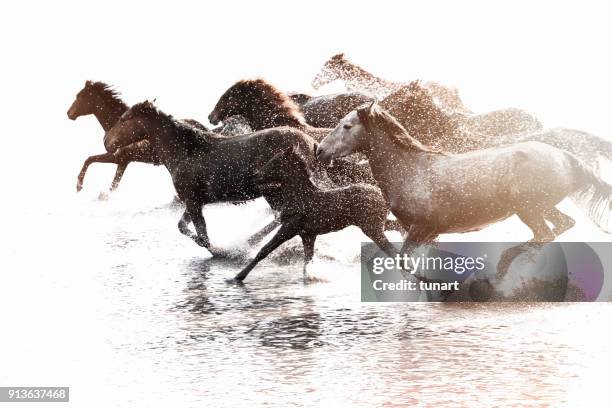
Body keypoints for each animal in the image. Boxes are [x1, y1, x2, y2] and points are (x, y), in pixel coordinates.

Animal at [103, 100, 320, 250]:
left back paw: (248, 243)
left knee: (282, 216)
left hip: (273, 191)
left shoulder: (192, 201)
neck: (186, 151)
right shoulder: (195, 200)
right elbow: (183, 226)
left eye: (124, 119)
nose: (106, 141)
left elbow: (203, 237)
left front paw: (220, 251)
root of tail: (312, 143)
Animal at [234, 145, 396, 282]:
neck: (299, 196)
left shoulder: (289, 228)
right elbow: (307, 260)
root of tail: (383, 197)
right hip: (377, 225)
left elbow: (264, 250)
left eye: (274, 161)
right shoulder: (308, 235)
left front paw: (238, 276)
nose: (255, 176)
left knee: (391, 249)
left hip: (371, 228)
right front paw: (311, 278)